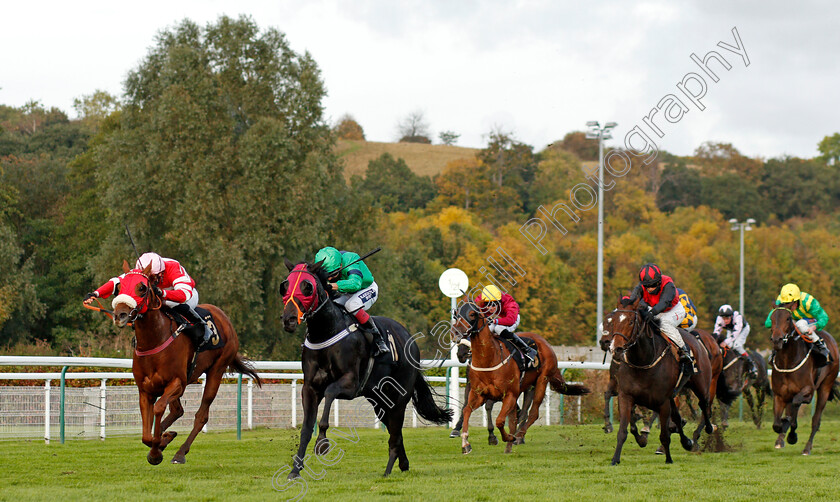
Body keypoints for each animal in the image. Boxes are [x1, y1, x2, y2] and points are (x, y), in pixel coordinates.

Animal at [107, 260, 260, 464]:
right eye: (119, 287)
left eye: (142, 288)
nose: (120, 315)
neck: (155, 340)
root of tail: (224, 318)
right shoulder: (145, 390)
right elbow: (146, 435)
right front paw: (159, 443)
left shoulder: (177, 382)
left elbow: (159, 409)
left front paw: (156, 451)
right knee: (177, 411)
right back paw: (166, 437)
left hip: (216, 370)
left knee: (201, 415)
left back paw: (180, 452)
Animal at [282, 258, 452, 478]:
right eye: (285, 285)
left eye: (307, 287)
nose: (289, 319)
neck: (326, 331)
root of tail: (410, 340)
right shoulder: (310, 387)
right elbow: (305, 428)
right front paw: (295, 471)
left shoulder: (351, 384)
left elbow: (330, 392)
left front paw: (322, 442)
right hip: (378, 400)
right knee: (395, 432)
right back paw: (403, 464)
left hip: (398, 398)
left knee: (395, 433)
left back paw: (388, 471)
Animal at [452, 302, 592, 454]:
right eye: (456, 314)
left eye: (472, 314)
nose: (456, 332)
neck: (489, 359)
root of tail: (545, 342)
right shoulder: (478, 393)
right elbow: (467, 410)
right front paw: (465, 443)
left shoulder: (509, 394)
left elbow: (500, 420)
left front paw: (507, 437)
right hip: (527, 386)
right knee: (519, 415)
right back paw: (511, 444)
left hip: (541, 381)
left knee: (532, 412)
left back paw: (518, 436)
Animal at [604, 296, 716, 464]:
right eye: (613, 321)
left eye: (630, 322)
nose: (615, 348)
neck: (643, 361)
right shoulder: (626, 396)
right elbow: (624, 430)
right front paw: (615, 459)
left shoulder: (663, 402)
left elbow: (664, 435)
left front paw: (668, 459)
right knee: (677, 416)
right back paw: (687, 442)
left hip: (701, 383)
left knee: (704, 404)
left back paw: (707, 429)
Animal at [772, 304, 836, 452]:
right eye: (771, 318)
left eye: (788, 318)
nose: (777, 340)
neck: (787, 362)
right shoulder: (779, 394)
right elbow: (777, 424)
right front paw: (784, 430)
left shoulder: (809, 390)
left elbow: (796, 405)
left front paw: (792, 434)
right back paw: (781, 438)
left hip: (825, 386)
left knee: (816, 420)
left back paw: (807, 448)